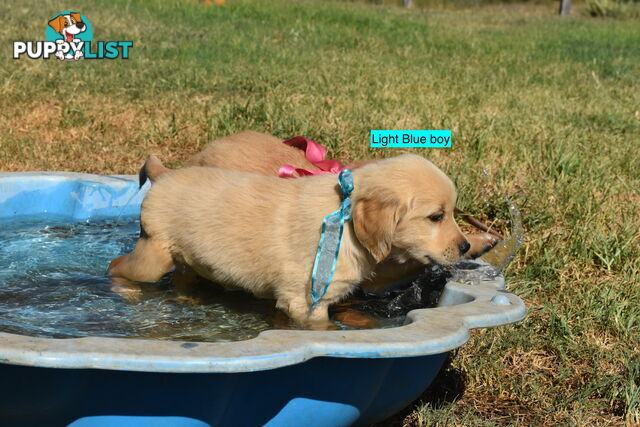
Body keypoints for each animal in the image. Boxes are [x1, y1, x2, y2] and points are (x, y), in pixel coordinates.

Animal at [110, 155, 470, 330]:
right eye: (436, 217)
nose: (466, 247)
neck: (347, 219)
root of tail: (165, 174)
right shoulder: (305, 301)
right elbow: (322, 330)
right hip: (152, 256)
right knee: (117, 267)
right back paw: (125, 291)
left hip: (187, 259)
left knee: (182, 279)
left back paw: (190, 300)